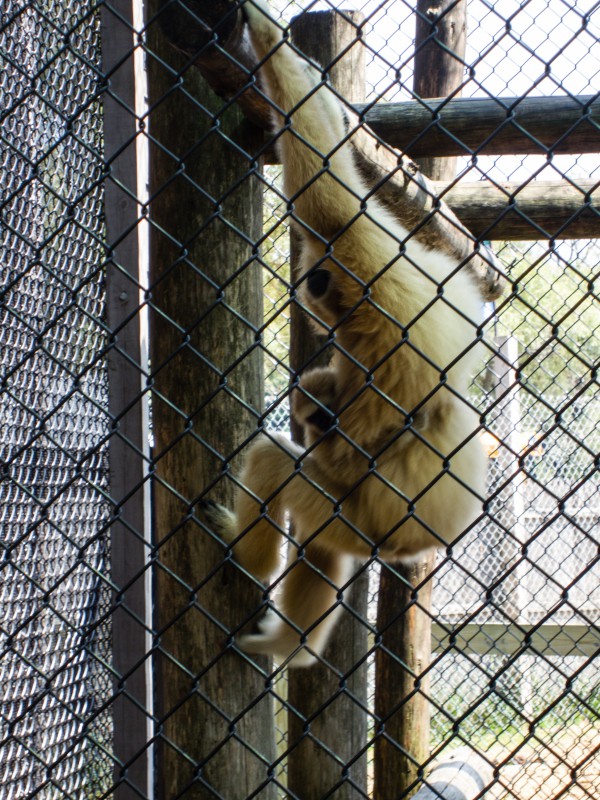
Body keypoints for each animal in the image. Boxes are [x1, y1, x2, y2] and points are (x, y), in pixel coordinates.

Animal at [202, 0, 486, 666]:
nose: (314, 287)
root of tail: (413, 545)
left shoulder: (363, 261)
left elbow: (327, 194)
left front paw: (263, 28)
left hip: (360, 521)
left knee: (279, 464)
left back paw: (248, 559)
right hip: (365, 534)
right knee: (321, 543)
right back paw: (290, 646)